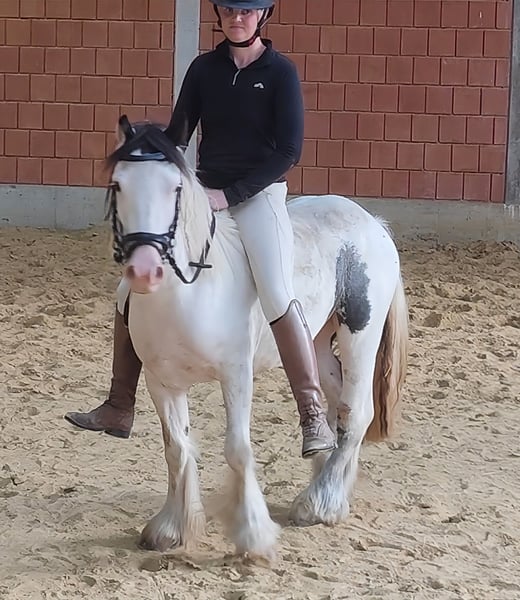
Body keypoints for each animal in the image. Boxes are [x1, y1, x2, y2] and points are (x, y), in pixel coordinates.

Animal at [104, 115, 408, 560]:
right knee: (333, 403)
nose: (144, 271)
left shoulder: (236, 374)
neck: (188, 293)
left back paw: (320, 503)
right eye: (118, 184)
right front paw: (171, 529)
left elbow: (237, 449)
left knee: (356, 412)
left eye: (175, 188)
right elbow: (176, 448)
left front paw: (253, 535)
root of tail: (373, 223)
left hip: (360, 336)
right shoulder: (162, 382)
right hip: (318, 341)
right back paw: (328, 480)